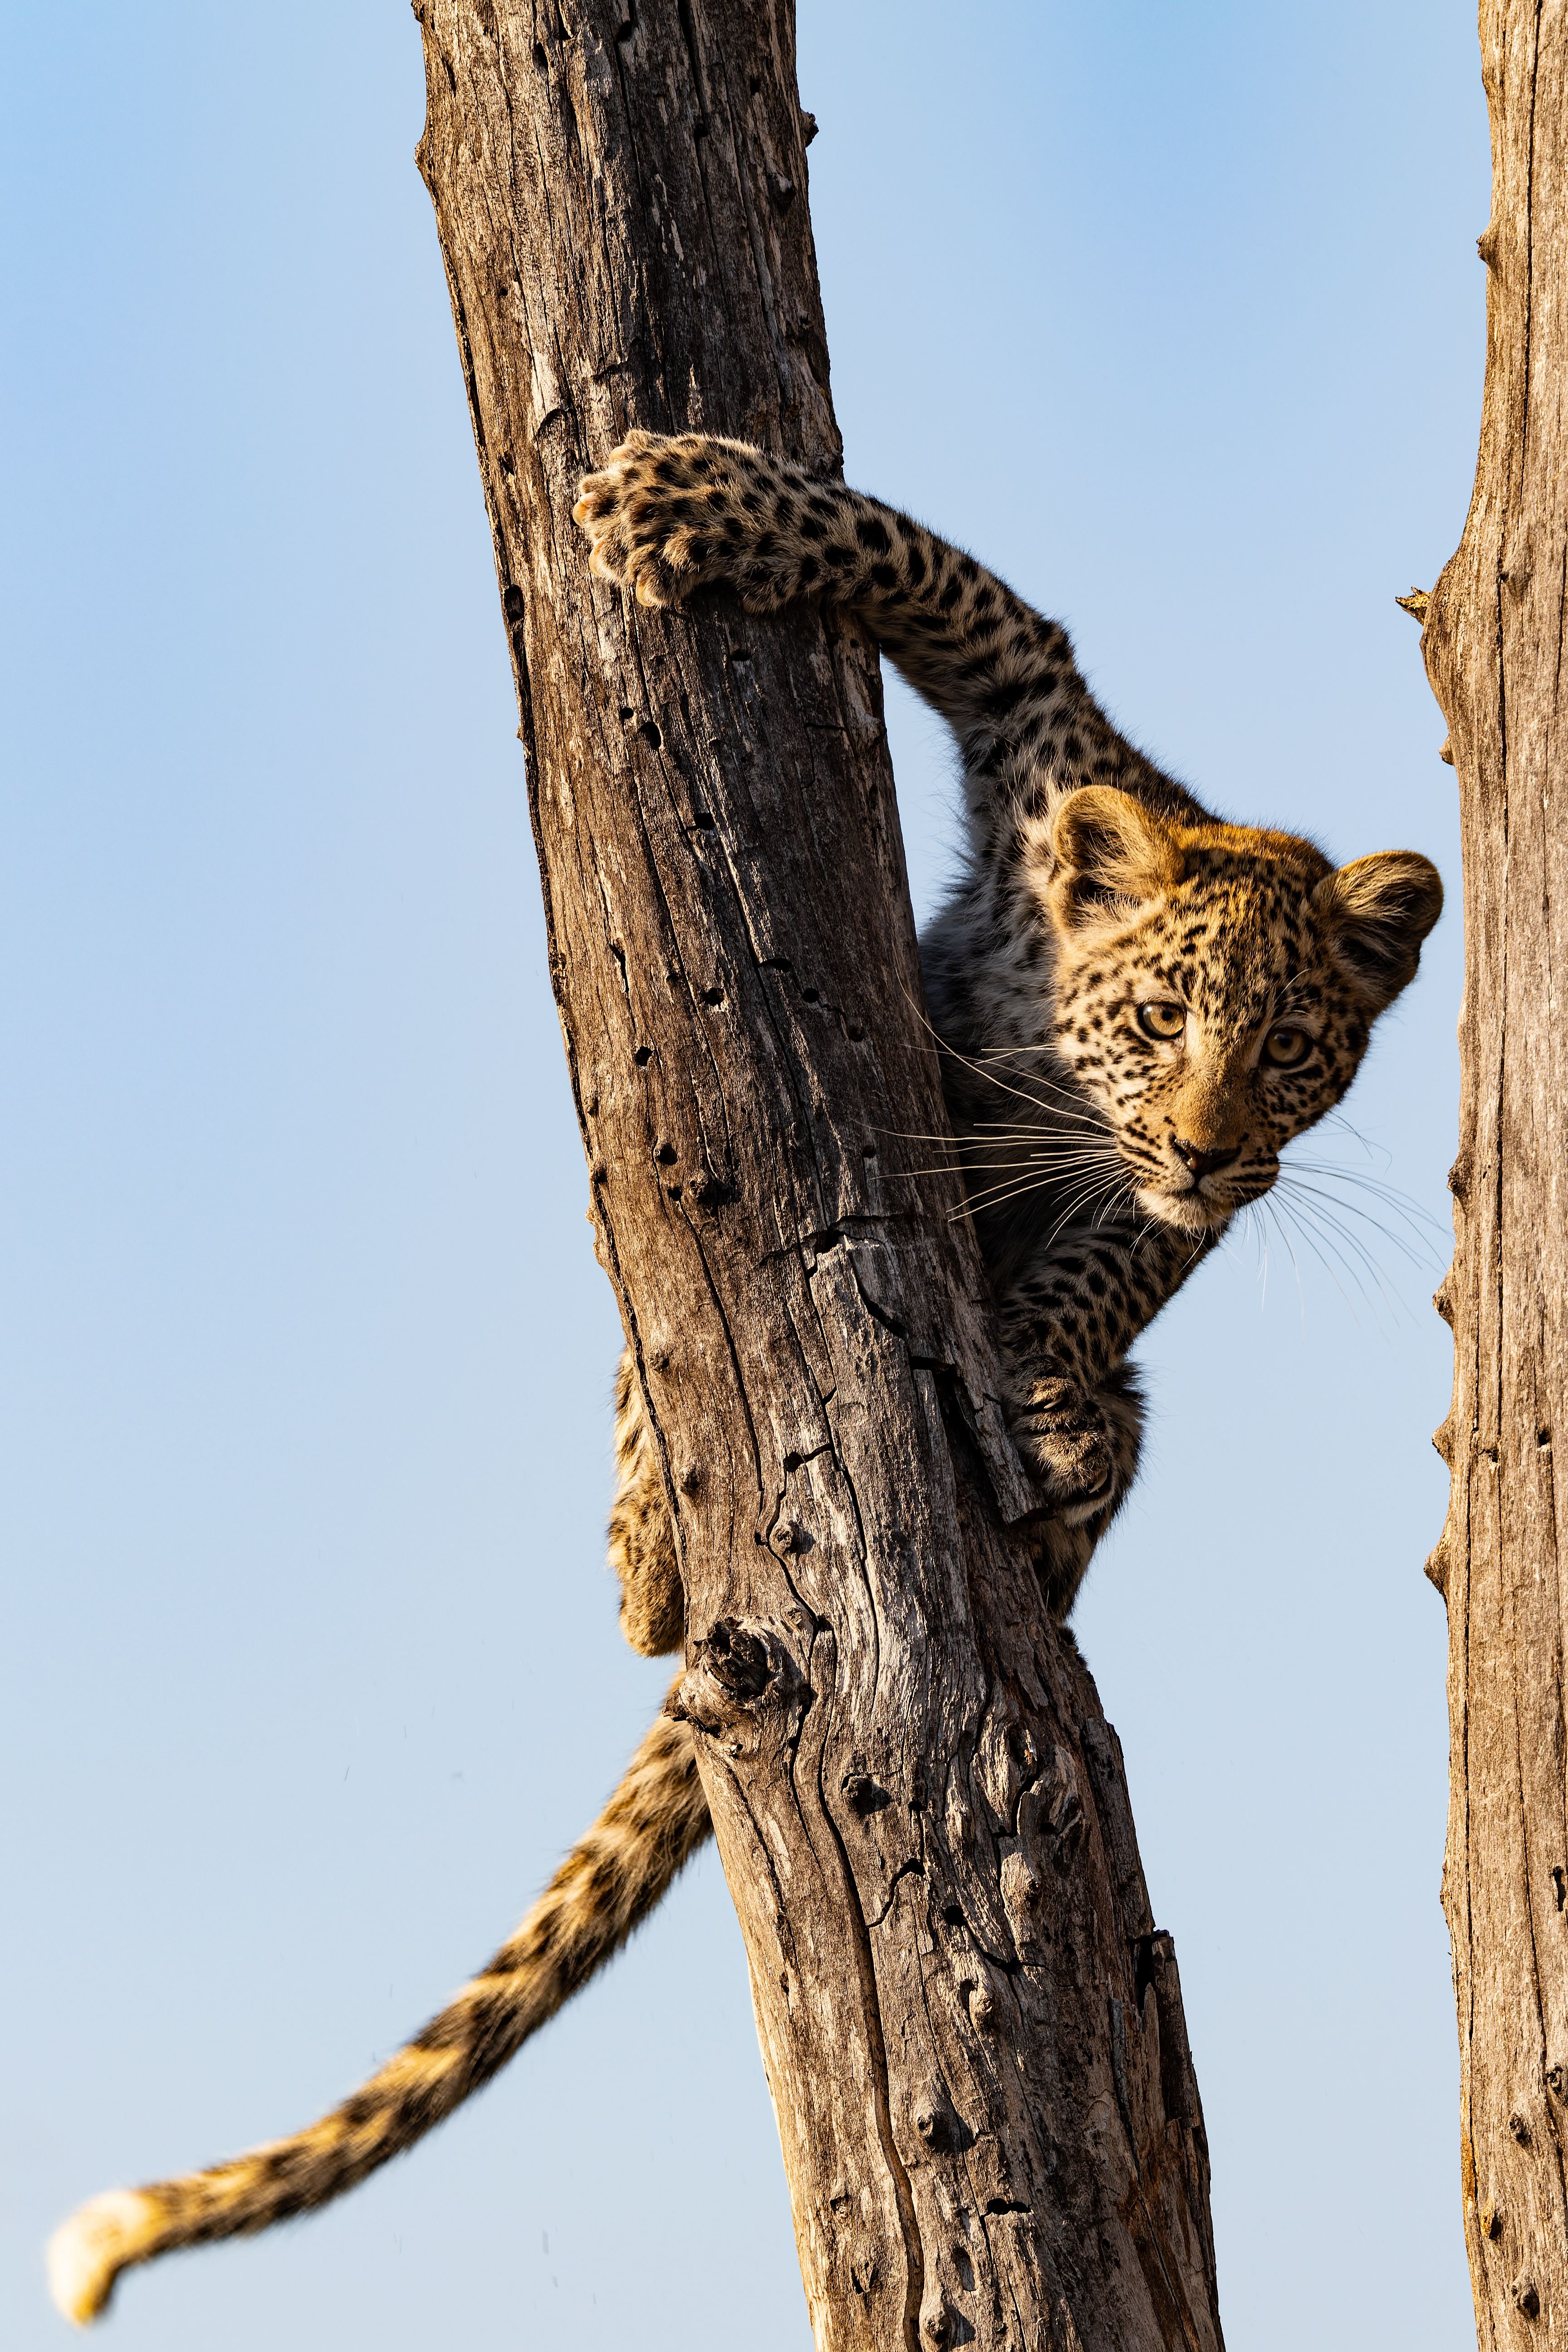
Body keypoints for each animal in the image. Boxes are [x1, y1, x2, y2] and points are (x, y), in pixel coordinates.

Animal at [49, 430, 1441, 2325]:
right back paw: (649, 1540)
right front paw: (689, 501)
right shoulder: (1039, 722)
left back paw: (1063, 1450)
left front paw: (1043, 1362)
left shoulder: (1171, 1205)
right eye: (1163, 1019)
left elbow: (1116, 1260)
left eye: (1295, 1051)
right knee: (632, 1373)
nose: (1214, 1143)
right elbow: (931, 571)